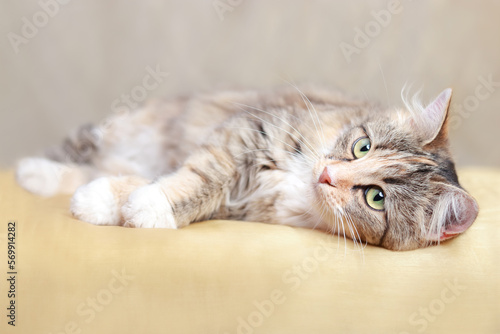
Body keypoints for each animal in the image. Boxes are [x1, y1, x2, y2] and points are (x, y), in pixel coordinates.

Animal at [13, 85, 478, 249]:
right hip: (118, 131)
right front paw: (119, 203)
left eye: (377, 198)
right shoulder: (245, 135)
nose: (326, 175)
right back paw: (31, 171)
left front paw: (138, 206)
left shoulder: (241, 202)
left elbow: (179, 189)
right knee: (79, 155)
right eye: (361, 147)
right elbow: (198, 177)